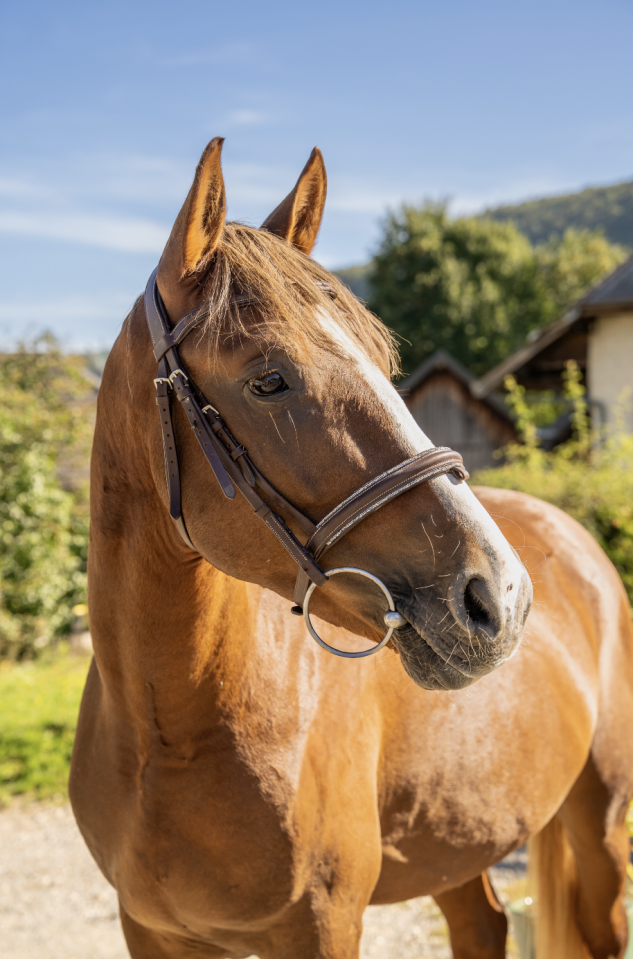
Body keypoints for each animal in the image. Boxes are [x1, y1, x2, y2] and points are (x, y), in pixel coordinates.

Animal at [70, 138, 633, 959]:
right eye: (269, 379)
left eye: (383, 358)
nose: (500, 596)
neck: (166, 735)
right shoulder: (150, 931)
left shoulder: (323, 925)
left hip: (601, 834)